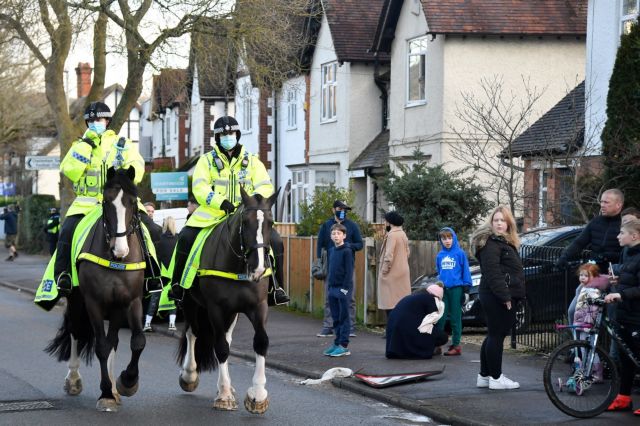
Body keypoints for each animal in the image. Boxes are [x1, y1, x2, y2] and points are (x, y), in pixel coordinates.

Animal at [45, 167, 146, 412]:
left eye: (133, 202)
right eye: (107, 202)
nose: (120, 250)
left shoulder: (130, 301)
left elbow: (136, 341)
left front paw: (126, 382)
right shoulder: (94, 303)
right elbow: (101, 346)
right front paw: (106, 393)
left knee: (113, 341)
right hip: (75, 300)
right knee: (75, 330)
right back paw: (73, 380)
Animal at [175, 186, 278, 412]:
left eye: (271, 222)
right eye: (245, 222)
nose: (258, 268)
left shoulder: (258, 306)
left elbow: (261, 342)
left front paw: (258, 394)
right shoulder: (216, 308)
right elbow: (221, 348)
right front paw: (224, 396)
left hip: (232, 313)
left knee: (225, 337)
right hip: (191, 304)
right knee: (193, 333)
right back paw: (189, 375)